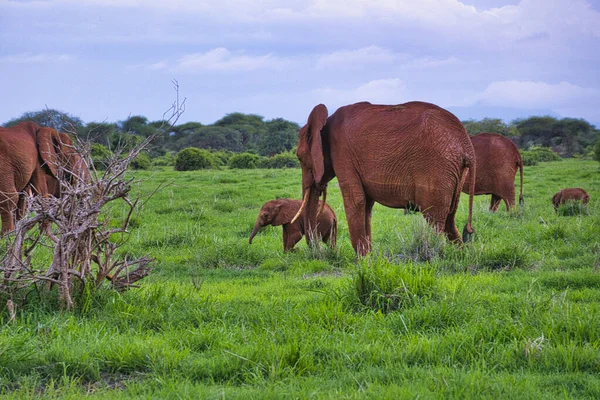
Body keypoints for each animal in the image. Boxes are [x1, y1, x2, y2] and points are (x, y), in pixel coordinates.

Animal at [292, 101, 476, 256]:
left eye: (300, 158)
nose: (319, 250)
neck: (323, 123)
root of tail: (466, 146)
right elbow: (366, 205)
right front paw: (368, 258)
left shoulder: (343, 154)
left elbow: (356, 200)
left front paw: (361, 261)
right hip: (454, 173)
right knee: (450, 219)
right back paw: (462, 255)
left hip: (437, 168)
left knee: (435, 220)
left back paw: (436, 255)